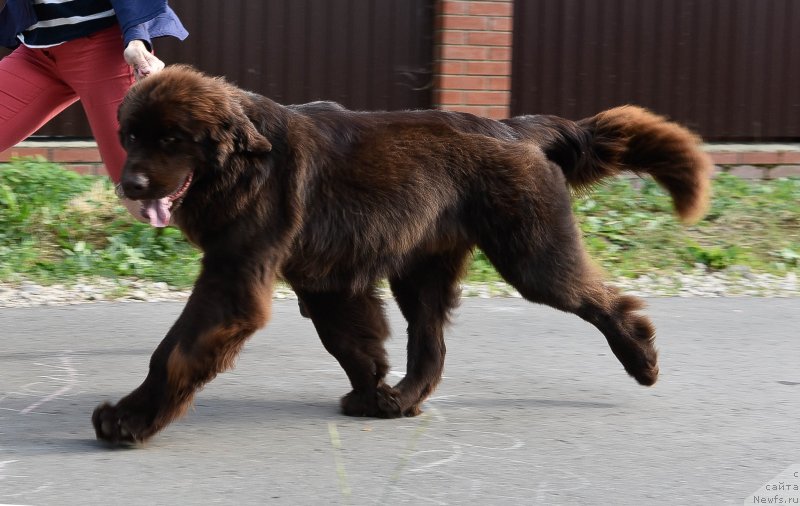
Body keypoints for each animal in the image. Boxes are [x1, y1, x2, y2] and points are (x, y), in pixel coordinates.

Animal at [92, 65, 712, 444]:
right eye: (130, 136)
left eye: (172, 139)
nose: (130, 185)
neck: (245, 164)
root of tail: (515, 130)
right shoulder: (325, 279)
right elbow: (350, 340)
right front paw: (372, 387)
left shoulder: (235, 279)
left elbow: (175, 351)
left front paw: (129, 419)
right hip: (422, 271)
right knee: (430, 347)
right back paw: (401, 400)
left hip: (532, 257)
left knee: (607, 303)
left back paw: (643, 358)